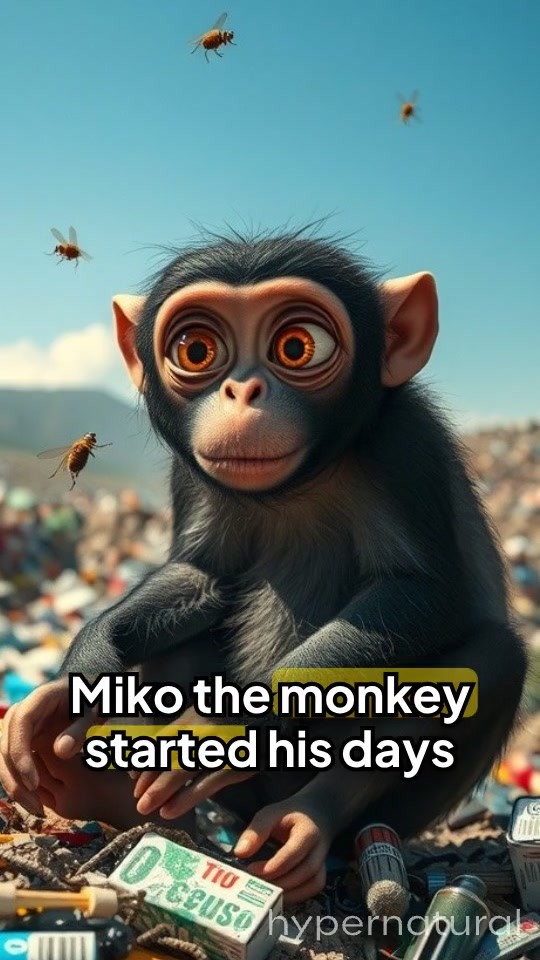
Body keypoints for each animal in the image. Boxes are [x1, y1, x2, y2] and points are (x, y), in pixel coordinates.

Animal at [0, 225, 528, 905]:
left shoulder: (407, 444)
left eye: (298, 348)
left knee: (493, 658)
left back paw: (308, 823)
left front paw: (225, 724)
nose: (243, 390)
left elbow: (424, 593)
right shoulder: (190, 470)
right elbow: (202, 574)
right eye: (197, 350)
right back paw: (115, 798)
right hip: (232, 800)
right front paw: (75, 680)